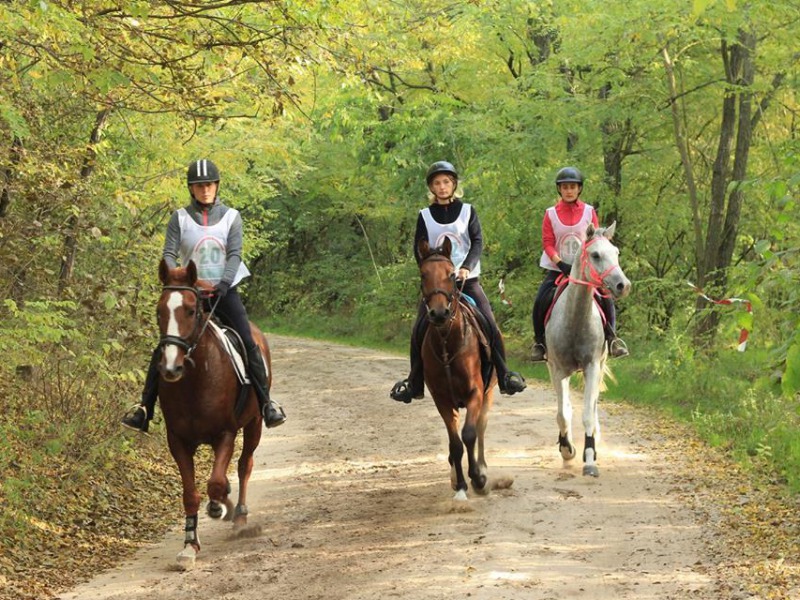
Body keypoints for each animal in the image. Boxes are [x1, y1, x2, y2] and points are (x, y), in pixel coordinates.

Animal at [155, 258, 268, 568]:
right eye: (159, 312)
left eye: (191, 310)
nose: (171, 368)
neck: (196, 380)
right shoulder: (178, 441)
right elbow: (191, 494)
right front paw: (189, 546)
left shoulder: (225, 433)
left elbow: (216, 482)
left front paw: (221, 506)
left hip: (254, 424)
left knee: (244, 465)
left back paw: (239, 516)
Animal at [418, 237, 494, 500]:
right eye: (423, 275)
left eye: (451, 274)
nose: (439, 313)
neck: (446, 342)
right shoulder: (442, 399)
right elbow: (455, 443)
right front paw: (460, 485)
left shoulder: (475, 393)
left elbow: (469, 435)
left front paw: (478, 478)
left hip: (488, 394)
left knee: (480, 429)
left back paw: (482, 468)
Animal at [544, 221, 632, 478]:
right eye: (595, 255)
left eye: (616, 253)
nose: (623, 286)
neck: (575, 319)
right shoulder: (557, 370)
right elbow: (563, 414)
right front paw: (567, 450)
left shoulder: (592, 366)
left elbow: (587, 415)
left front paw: (590, 458)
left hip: (599, 365)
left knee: (592, 406)